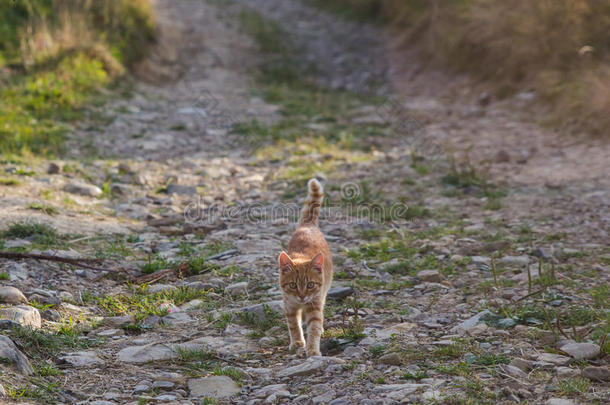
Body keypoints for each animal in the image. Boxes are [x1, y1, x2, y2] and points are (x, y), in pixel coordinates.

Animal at [276, 178, 330, 356]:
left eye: (310, 284)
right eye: (293, 285)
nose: (301, 296)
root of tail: (307, 225)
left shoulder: (315, 304)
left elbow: (314, 327)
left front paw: (312, 349)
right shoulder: (289, 306)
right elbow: (293, 325)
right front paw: (297, 342)